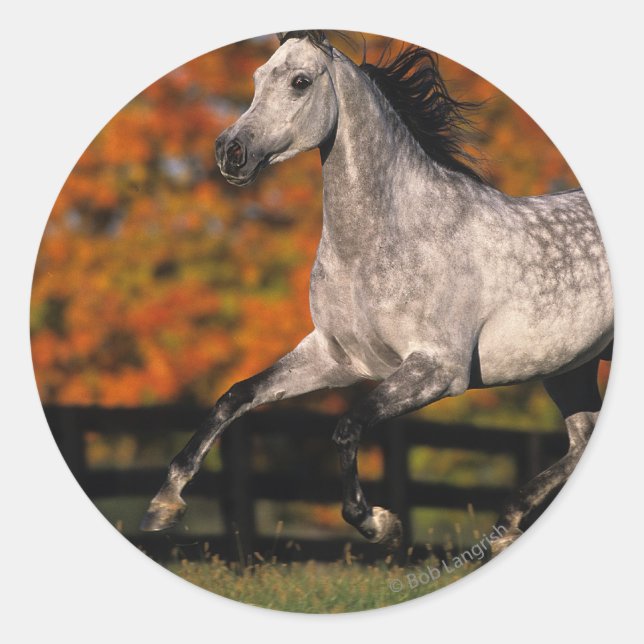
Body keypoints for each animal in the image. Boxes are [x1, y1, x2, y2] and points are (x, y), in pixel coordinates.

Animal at [141, 30, 613, 555]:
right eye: (257, 76)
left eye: (300, 82)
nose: (230, 152)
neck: (379, 243)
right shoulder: (334, 358)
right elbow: (236, 396)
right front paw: (164, 504)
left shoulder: (438, 370)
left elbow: (349, 427)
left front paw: (379, 523)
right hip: (569, 367)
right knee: (583, 439)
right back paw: (504, 527)